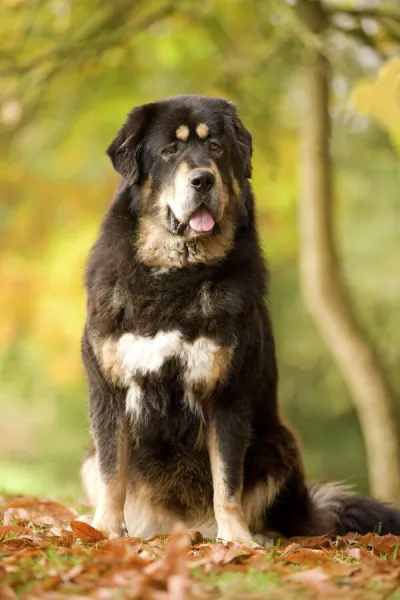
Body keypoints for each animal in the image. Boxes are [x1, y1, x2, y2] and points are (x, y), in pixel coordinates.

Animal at [80, 92, 400, 544]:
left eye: (215, 147)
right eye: (170, 150)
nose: (202, 180)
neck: (177, 275)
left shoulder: (226, 394)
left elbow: (227, 479)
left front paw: (235, 540)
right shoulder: (108, 391)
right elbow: (113, 473)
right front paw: (105, 530)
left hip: (278, 447)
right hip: (90, 457)